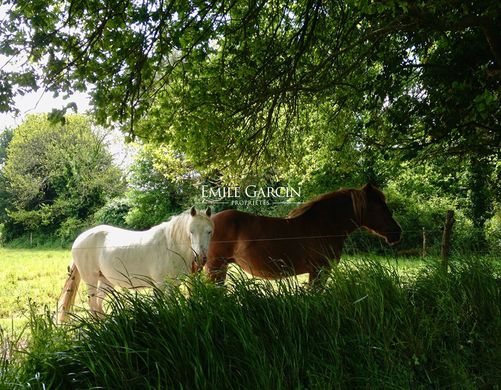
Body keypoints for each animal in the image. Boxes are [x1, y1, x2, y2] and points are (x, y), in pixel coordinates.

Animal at [56, 207, 213, 322]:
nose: (200, 258)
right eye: (191, 231)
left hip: (106, 281)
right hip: (91, 280)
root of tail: (79, 239)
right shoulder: (161, 285)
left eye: (209, 232)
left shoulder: (173, 285)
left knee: (98, 304)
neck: (170, 245)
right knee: (93, 304)